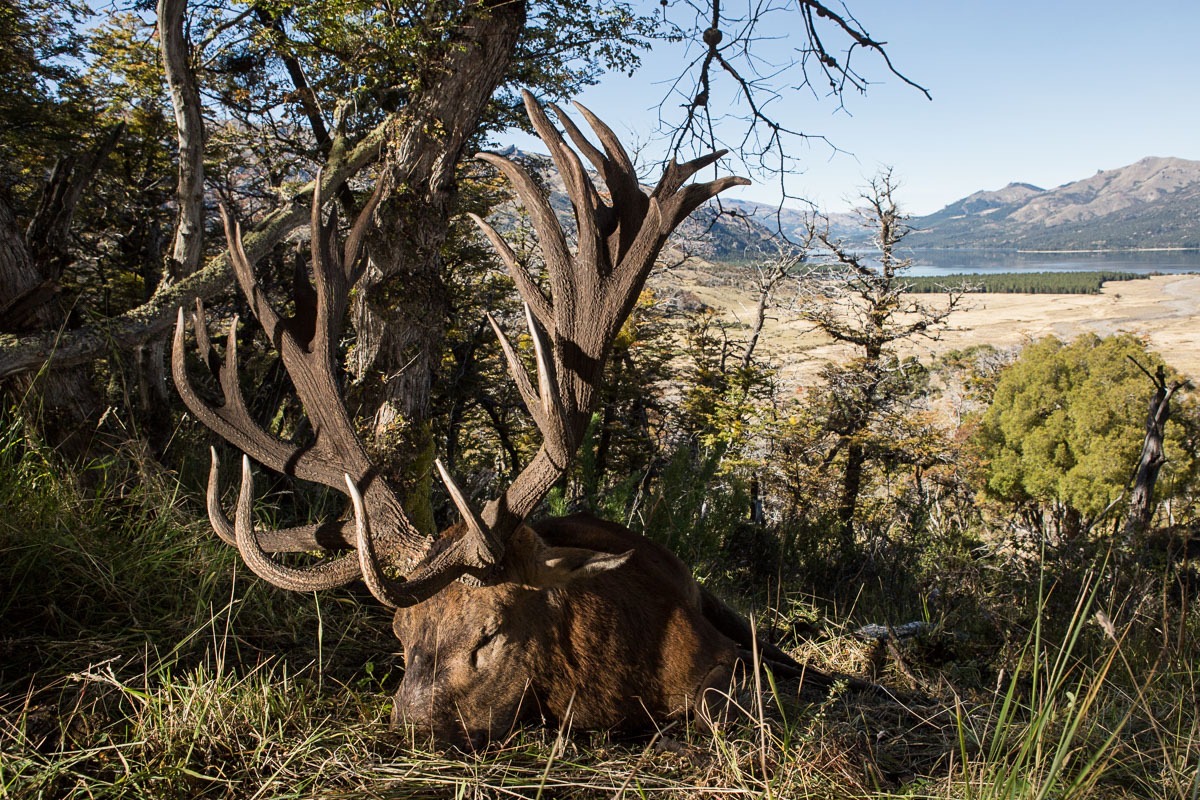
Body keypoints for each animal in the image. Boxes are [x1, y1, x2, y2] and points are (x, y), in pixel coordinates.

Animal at [173, 91, 832, 748]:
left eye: (490, 631)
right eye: (400, 633)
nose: (413, 724)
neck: (612, 685)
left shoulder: (712, 656)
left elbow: (721, 701)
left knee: (763, 639)